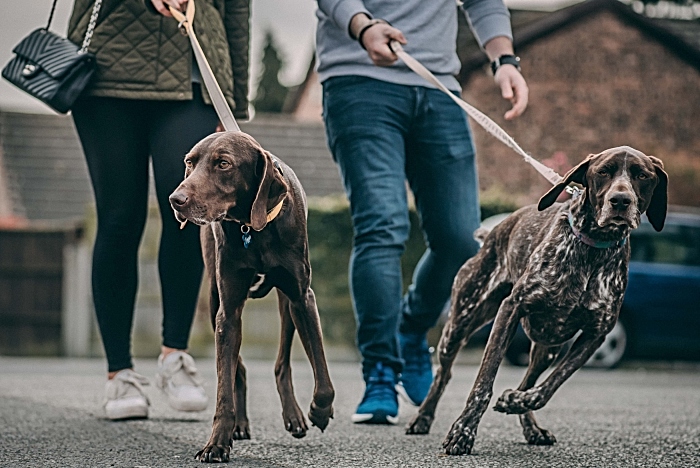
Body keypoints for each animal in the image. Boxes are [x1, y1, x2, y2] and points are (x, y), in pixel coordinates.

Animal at [169, 131, 334, 460]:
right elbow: (225, 388)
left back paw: (294, 415)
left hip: (287, 307)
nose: (175, 200)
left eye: (223, 163)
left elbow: (323, 380)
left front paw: (320, 412)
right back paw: (240, 424)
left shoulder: (303, 298)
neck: (253, 228)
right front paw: (217, 442)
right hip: (214, 302)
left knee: (282, 364)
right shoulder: (228, 311)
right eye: (190, 163)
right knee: (239, 371)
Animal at [404, 145, 668, 454]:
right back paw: (422, 418)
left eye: (642, 175)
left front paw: (515, 401)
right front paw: (463, 431)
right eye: (603, 171)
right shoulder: (511, 308)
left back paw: (528, 421)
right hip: (459, 325)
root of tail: (492, 233)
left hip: (548, 346)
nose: (620, 200)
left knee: (528, 380)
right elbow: (484, 383)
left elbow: (546, 388)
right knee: (443, 375)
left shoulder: (595, 334)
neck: (592, 250)